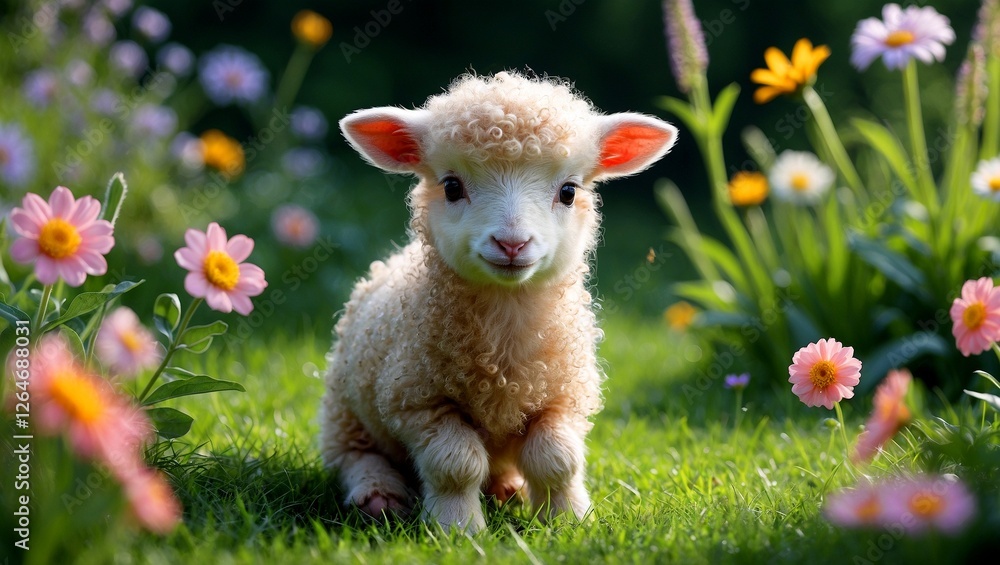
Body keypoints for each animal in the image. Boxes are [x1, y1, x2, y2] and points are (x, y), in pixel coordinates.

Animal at [321, 71, 677, 532]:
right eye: (452, 187)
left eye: (568, 191)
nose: (512, 243)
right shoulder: (416, 400)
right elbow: (456, 464)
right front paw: (457, 527)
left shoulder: (564, 396)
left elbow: (557, 459)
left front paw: (569, 519)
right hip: (345, 412)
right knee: (354, 456)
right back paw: (379, 496)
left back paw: (510, 490)